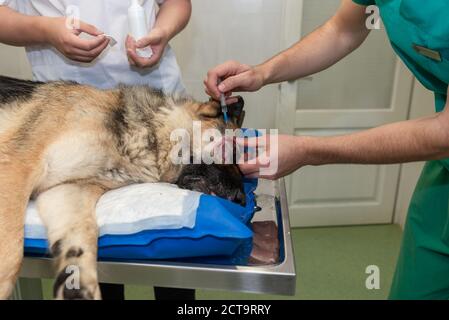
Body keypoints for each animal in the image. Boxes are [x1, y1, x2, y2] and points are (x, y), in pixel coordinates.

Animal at [0, 75, 245, 300]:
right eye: (231, 151)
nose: (242, 200)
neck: (150, 129)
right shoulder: (17, 168)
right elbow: (11, 254)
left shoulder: (68, 191)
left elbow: (82, 239)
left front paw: (78, 289)